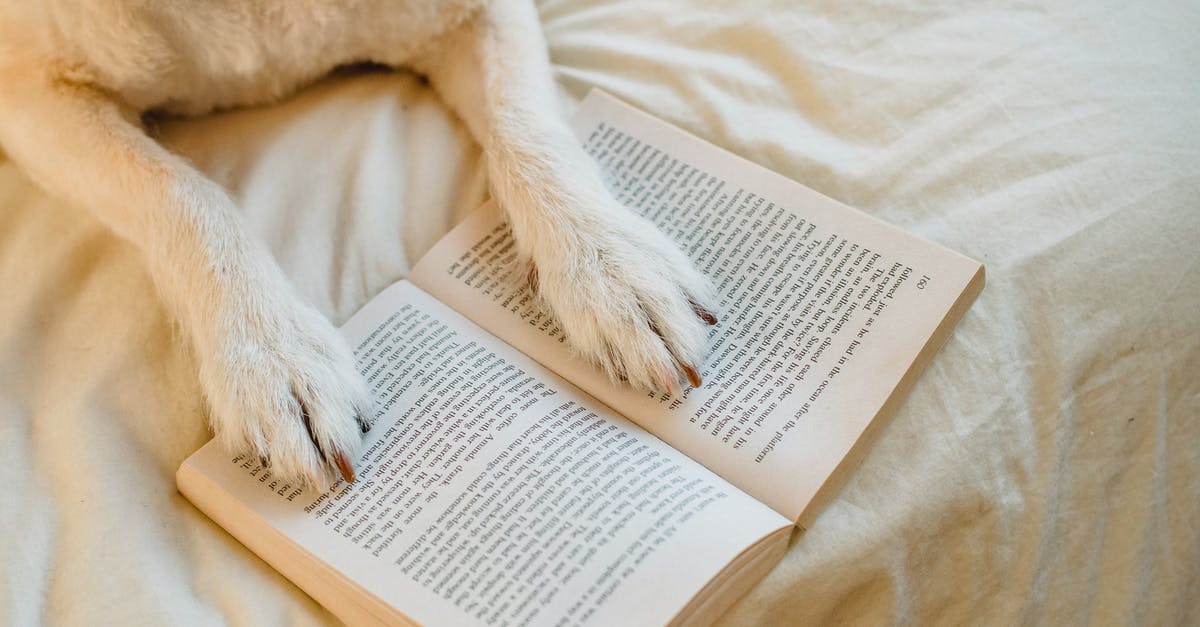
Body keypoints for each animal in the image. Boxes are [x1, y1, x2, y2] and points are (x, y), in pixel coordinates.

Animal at [0, 0, 710, 485]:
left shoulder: (478, 12)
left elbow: (522, 125)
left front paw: (610, 264)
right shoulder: (31, 98)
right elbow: (180, 191)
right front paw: (273, 354)